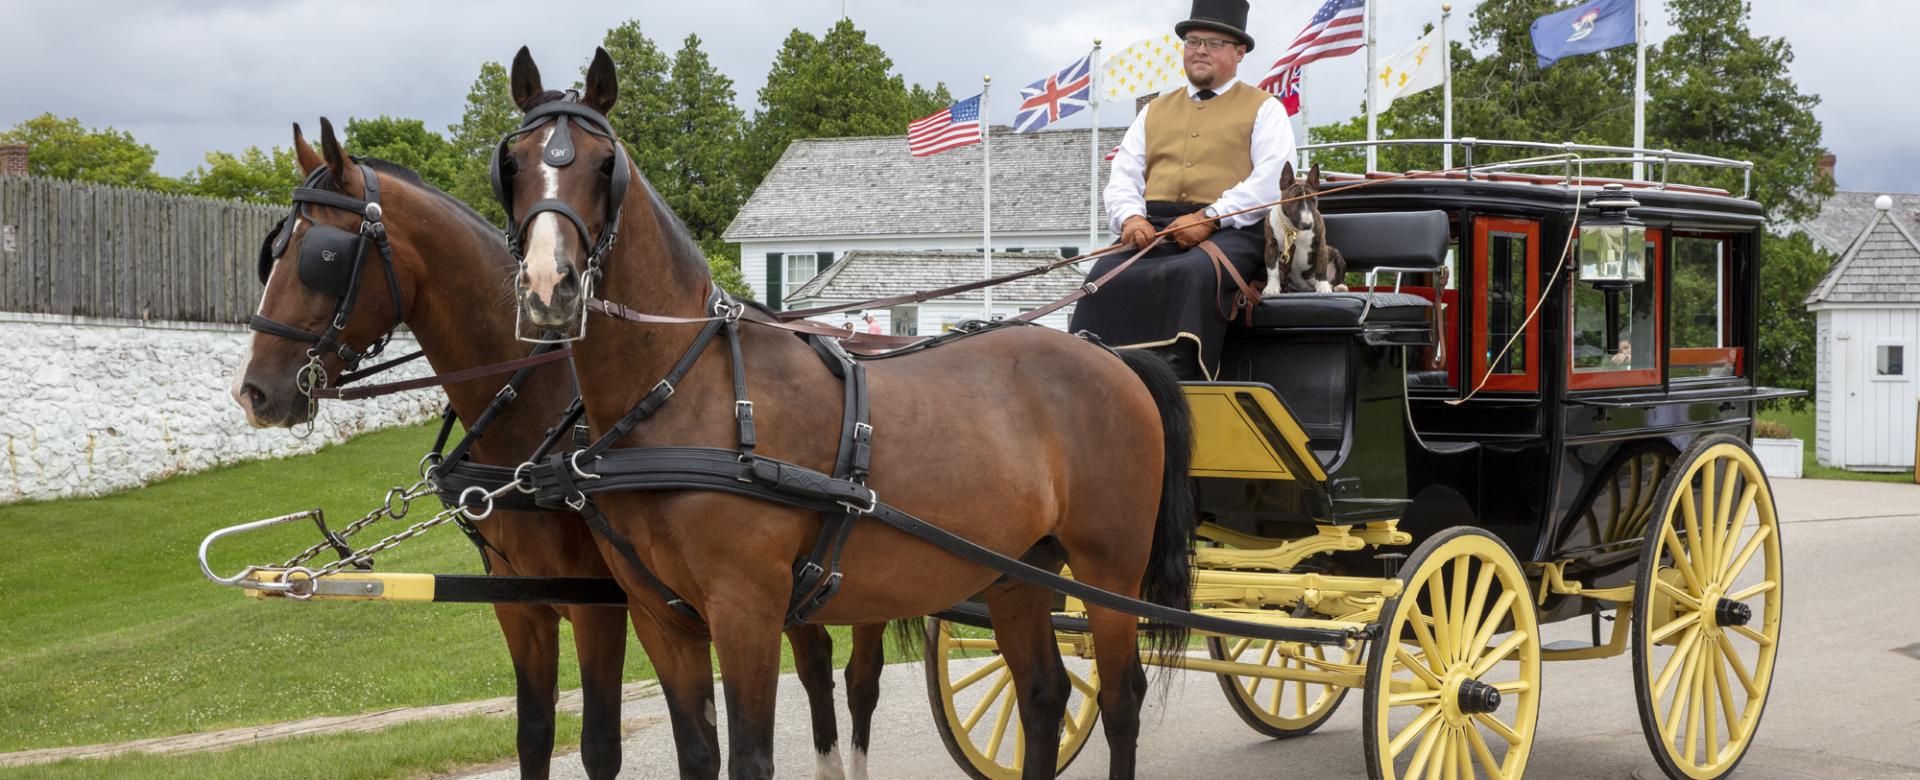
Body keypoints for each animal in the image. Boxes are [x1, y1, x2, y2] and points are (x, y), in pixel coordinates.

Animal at [224, 118, 879, 776]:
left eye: (323, 256)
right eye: (271, 253)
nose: (253, 392)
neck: (535, 408)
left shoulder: (601, 605)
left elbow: (599, 745)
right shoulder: (520, 603)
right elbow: (534, 732)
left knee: (859, 675)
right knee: (816, 656)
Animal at [499, 45, 1182, 776]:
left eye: (605, 164)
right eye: (513, 163)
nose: (548, 289)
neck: (685, 392)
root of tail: (1111, 356)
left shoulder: (746, 609)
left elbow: (751, 757)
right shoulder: (662, 618)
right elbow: (698, 755)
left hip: (1110, 570)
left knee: (1120, 700)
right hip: (1018, 571)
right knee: (1044, 694)